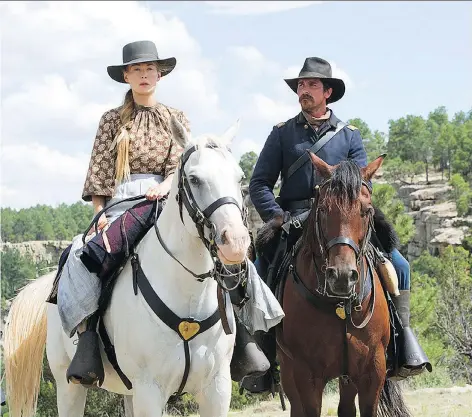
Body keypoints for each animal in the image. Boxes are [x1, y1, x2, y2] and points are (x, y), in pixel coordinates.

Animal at [3, 114, 253, 416]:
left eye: (239, 178)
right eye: (194, 179)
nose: (235, 242)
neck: (189, 298)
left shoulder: (216, 388)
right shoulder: (150, 390)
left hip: (129, 392)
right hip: (69, 385)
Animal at [274, 153, 412, 416]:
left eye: (367, 210)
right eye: (323, 209)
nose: (342, 276)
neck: (338, 305)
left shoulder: (372, 371)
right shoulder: (307, 375)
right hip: (288, 370)